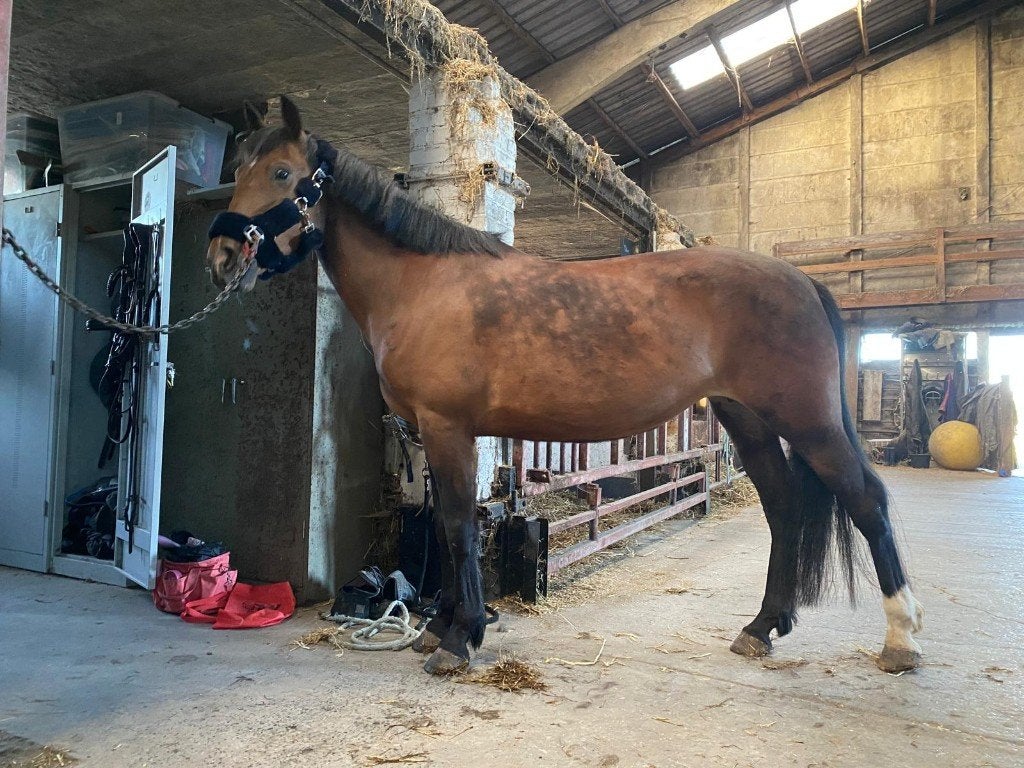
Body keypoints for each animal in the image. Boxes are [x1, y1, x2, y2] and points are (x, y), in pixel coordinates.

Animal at [207, 97, 924, 676]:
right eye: (236, 171)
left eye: (281, 174)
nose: (222, 257)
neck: (422, 285)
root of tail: (805, 283)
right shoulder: (439, 434)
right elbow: (443, 524)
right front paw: (442, 627)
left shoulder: (448, 427)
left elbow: (459, 526)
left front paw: (459, 640)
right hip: (746, 419)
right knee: (784, 508)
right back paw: (762, 628)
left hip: (809, 422)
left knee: (867, 502)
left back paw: (902, 640)